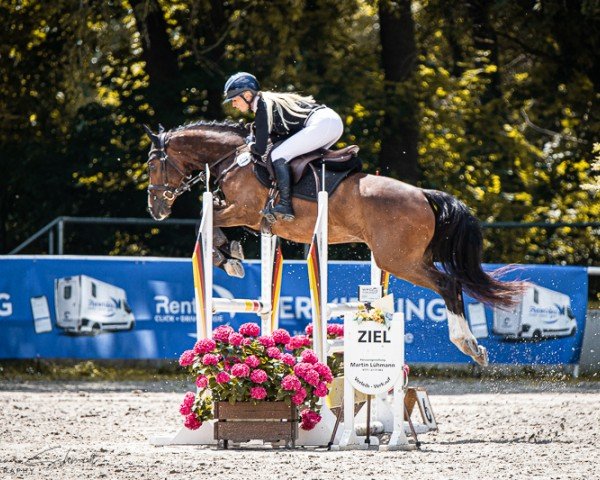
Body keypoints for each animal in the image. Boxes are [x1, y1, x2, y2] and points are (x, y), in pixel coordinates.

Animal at [144, 120, 524, 364]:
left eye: (150, 165)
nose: (156, 209)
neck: (235, 160)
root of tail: (423, 194)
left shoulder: (245, 210)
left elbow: (206, 220)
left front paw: (229, 258)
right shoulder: (251, 219)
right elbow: (212, 221)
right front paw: (233, 256)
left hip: (398, 260)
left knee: (448, 284)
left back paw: (468, 345)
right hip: (402, 258)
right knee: (451, 284)